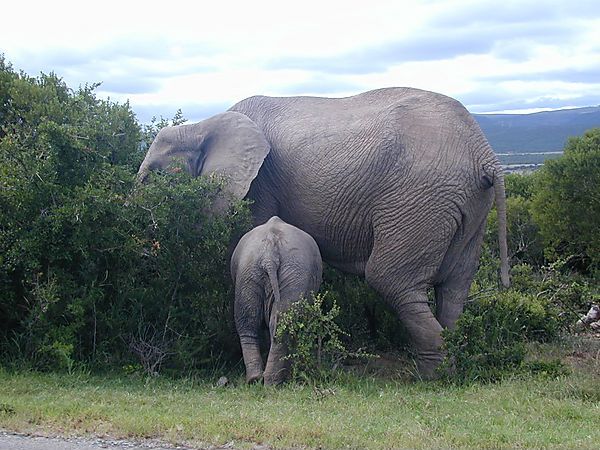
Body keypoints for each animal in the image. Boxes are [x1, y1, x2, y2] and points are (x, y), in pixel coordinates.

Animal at [230, 216, 324, 384]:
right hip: (291, 271)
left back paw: (256, 379)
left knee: (248, 319)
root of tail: (269, 255)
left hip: (250, 270)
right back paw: (273, 381)